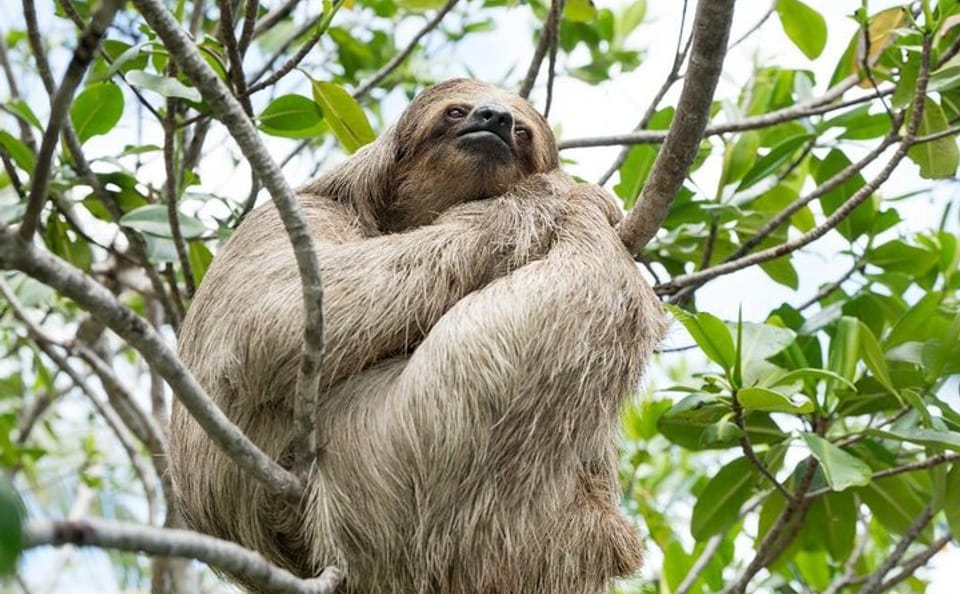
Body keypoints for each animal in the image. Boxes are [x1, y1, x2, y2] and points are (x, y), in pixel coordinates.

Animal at [171, 79, 668, 593]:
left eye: (523, 132)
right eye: (456, 112)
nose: (495, 118)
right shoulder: (296, 212)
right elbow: (273, 310)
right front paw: (553, 193)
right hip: (407, 448)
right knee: (601, 291)